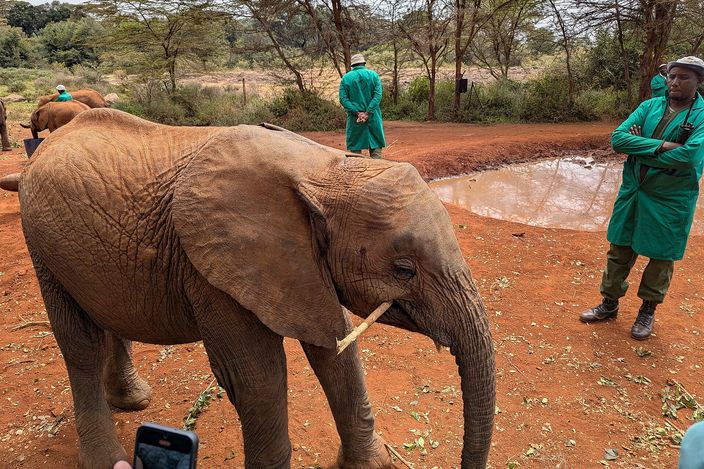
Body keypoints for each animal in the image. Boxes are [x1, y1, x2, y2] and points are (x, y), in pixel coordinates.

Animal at [18, 109, 495, 469]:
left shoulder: (299, 265)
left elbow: (337, 347)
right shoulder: (211, 268)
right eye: (403, 269)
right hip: (40, 240)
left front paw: (371, 465)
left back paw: (133, 402)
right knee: (79, 344)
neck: (324, 169)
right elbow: (258, 378)